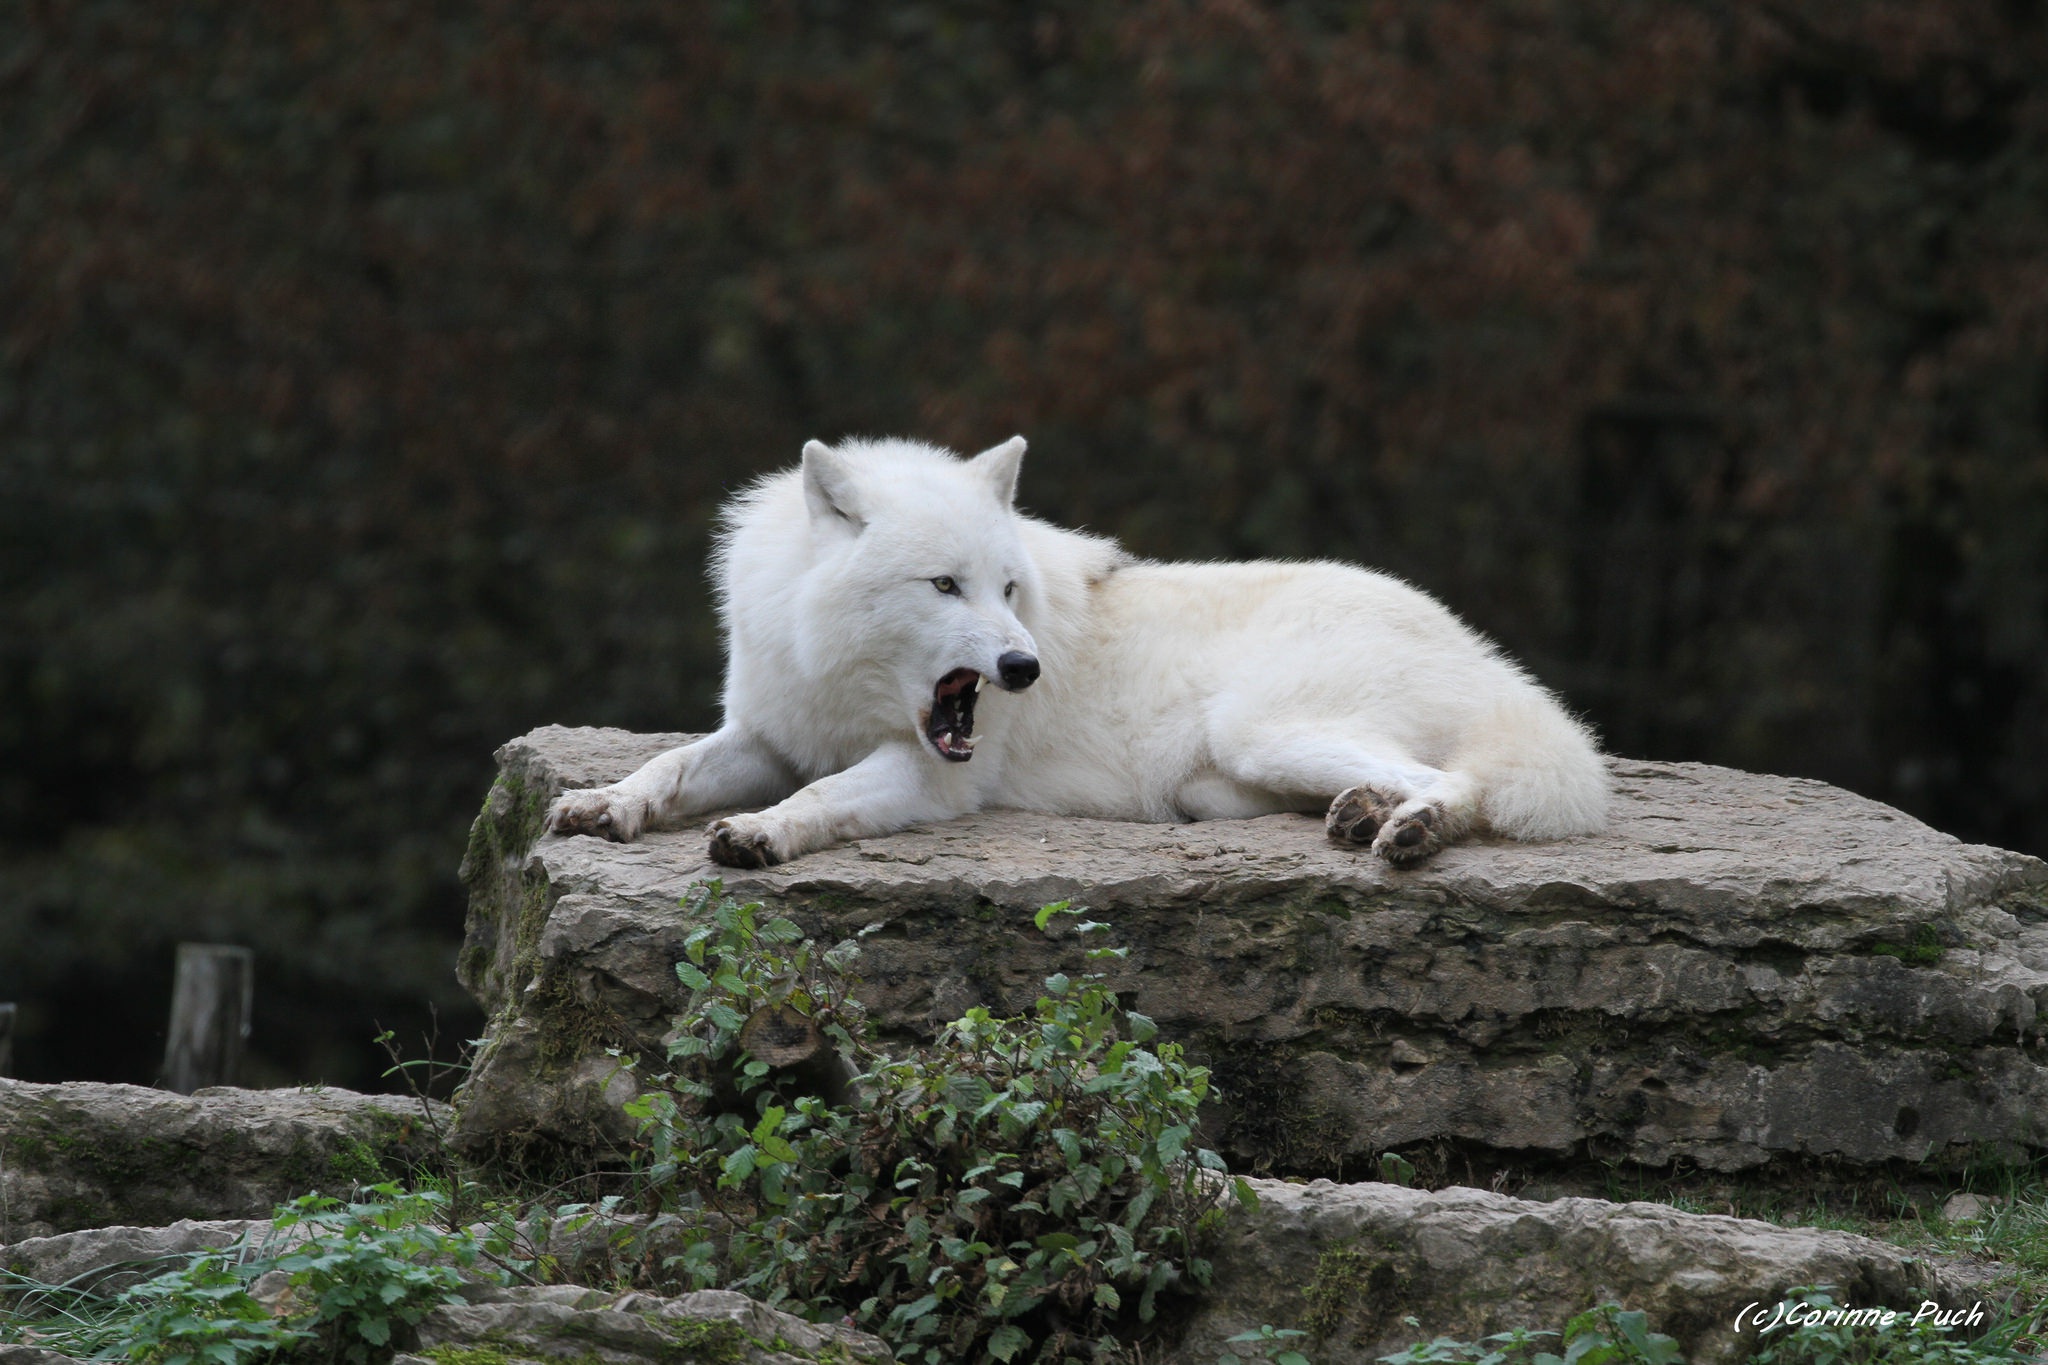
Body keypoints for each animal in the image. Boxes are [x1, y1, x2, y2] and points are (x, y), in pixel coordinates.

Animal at [552, 437, 1605, 863]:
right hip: (1219, 782)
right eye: (946, 586)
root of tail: (1480, 648)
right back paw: (1363, 814)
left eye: (1009, 588)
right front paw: (604, 803)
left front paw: (762, 834)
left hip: (1260, 731)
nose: (1024, 669)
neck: (841, 676)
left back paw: (1410, 828)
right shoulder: (765, 732)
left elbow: (820, 796)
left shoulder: (934, 779)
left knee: (1463, 780)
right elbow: (668, 765)